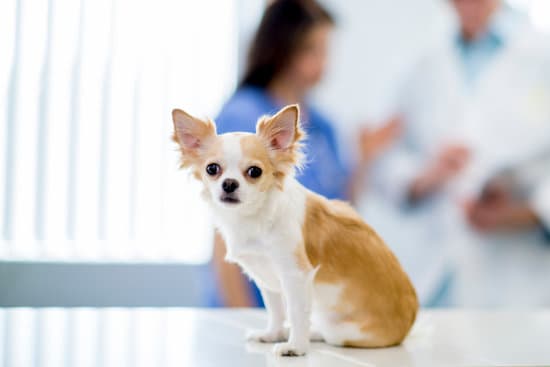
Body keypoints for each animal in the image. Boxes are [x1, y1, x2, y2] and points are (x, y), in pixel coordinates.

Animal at [171, 103, 418, 356]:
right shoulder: (266, 278)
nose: (229, 183)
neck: (253, 217)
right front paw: (273, 334)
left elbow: (296, 312)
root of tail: (407, 326)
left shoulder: (296, 276)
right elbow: (275, 310)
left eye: (254, 172)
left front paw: (295, 347)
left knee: (329, 333)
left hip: (344, 331)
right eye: (212, 169)